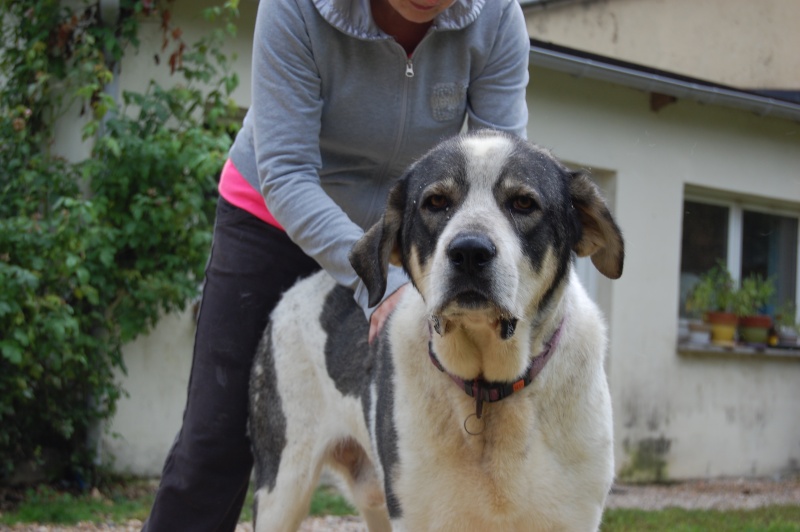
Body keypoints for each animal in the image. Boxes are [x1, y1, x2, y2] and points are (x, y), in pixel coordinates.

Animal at [250, 130, 624, 532]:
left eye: (524, 203)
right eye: (436, 202)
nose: (470, 251)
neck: (488, 390)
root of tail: (297, 289)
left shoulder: (571, 516)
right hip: (282, 488)